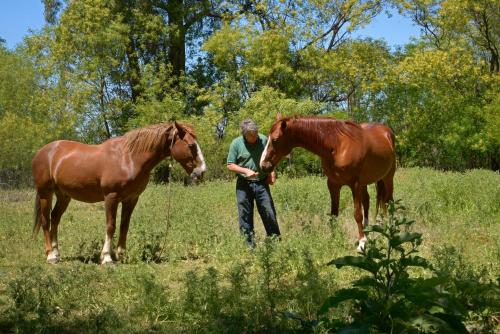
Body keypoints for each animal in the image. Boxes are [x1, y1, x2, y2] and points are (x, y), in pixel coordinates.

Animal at [31, 121, 205, 264]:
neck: (129, 158)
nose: (201, 172)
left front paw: (121, 255)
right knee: (46, 220)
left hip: (64, 195)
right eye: (191, 145)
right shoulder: (111, 197)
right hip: (45, 193)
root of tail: (42, 152)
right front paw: (107, 257)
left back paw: (57, 253)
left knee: (55, 218)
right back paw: (50, 256)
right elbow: (111, 226)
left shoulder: (131, 199)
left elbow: (124, 226)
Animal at [260, 115, 396, 250]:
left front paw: (362, 243)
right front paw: (333, 239)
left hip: (387, 178)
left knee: (389, 201)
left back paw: (390, 231)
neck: (338, 146)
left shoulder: (354, 185)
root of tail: (387, 133)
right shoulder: (333, 185)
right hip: (366, 183)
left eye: (275, 139)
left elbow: (357, 214)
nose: (263, 165)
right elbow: (334, 214)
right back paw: (368, 231)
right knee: (368, 201)